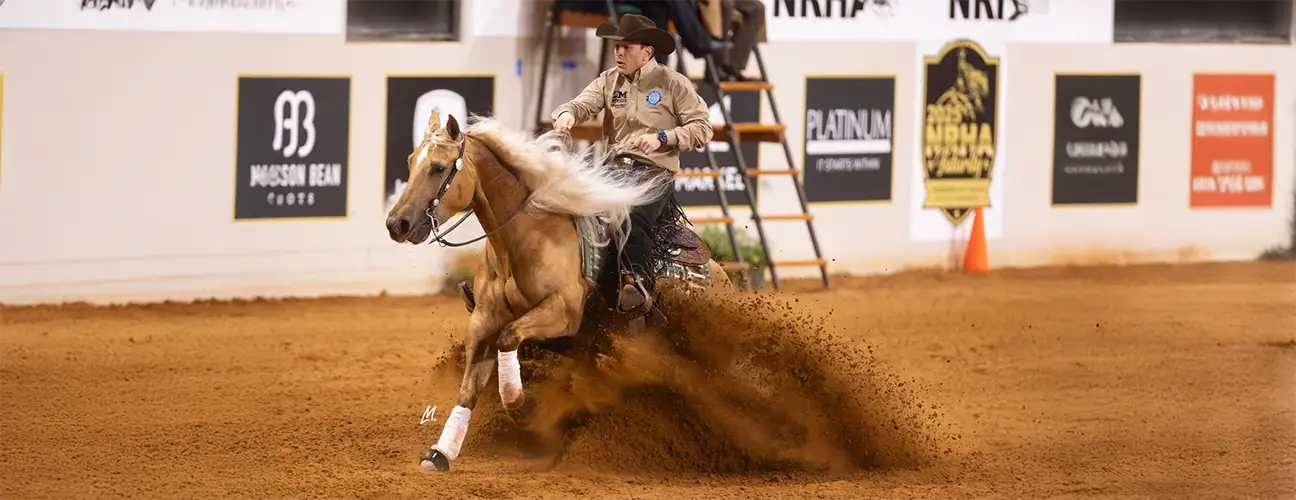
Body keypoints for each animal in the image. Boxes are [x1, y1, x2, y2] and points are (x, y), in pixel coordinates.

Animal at [384, 111, 733, 473]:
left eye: (439, 167)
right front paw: (441, 452)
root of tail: (720, 275)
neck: (528, 237)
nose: (397, 224)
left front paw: (522, 407)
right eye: (410, 161)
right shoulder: (483, 320)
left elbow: (508, 337)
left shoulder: (561, 313)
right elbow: (469, 387)